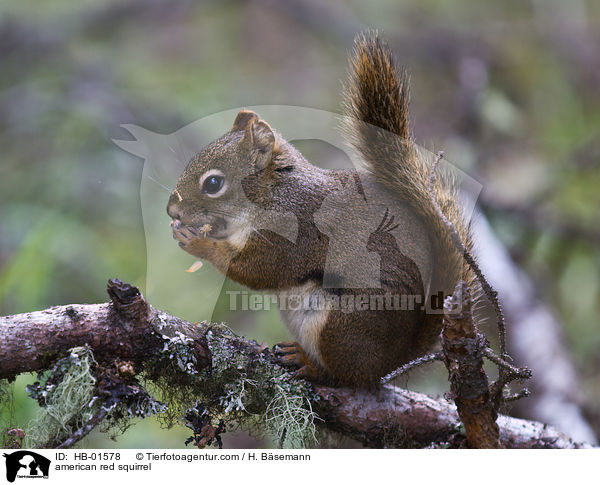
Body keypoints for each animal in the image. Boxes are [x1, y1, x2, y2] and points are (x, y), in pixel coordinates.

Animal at [166, 32, 476, 388]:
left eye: (214, 183)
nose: (171, 211)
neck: (273, 195)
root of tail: (391, 363)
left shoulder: (294, 232)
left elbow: (259, 269)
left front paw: (198, 243)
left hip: (340, 326)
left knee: (345, 376)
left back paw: (309, 364)